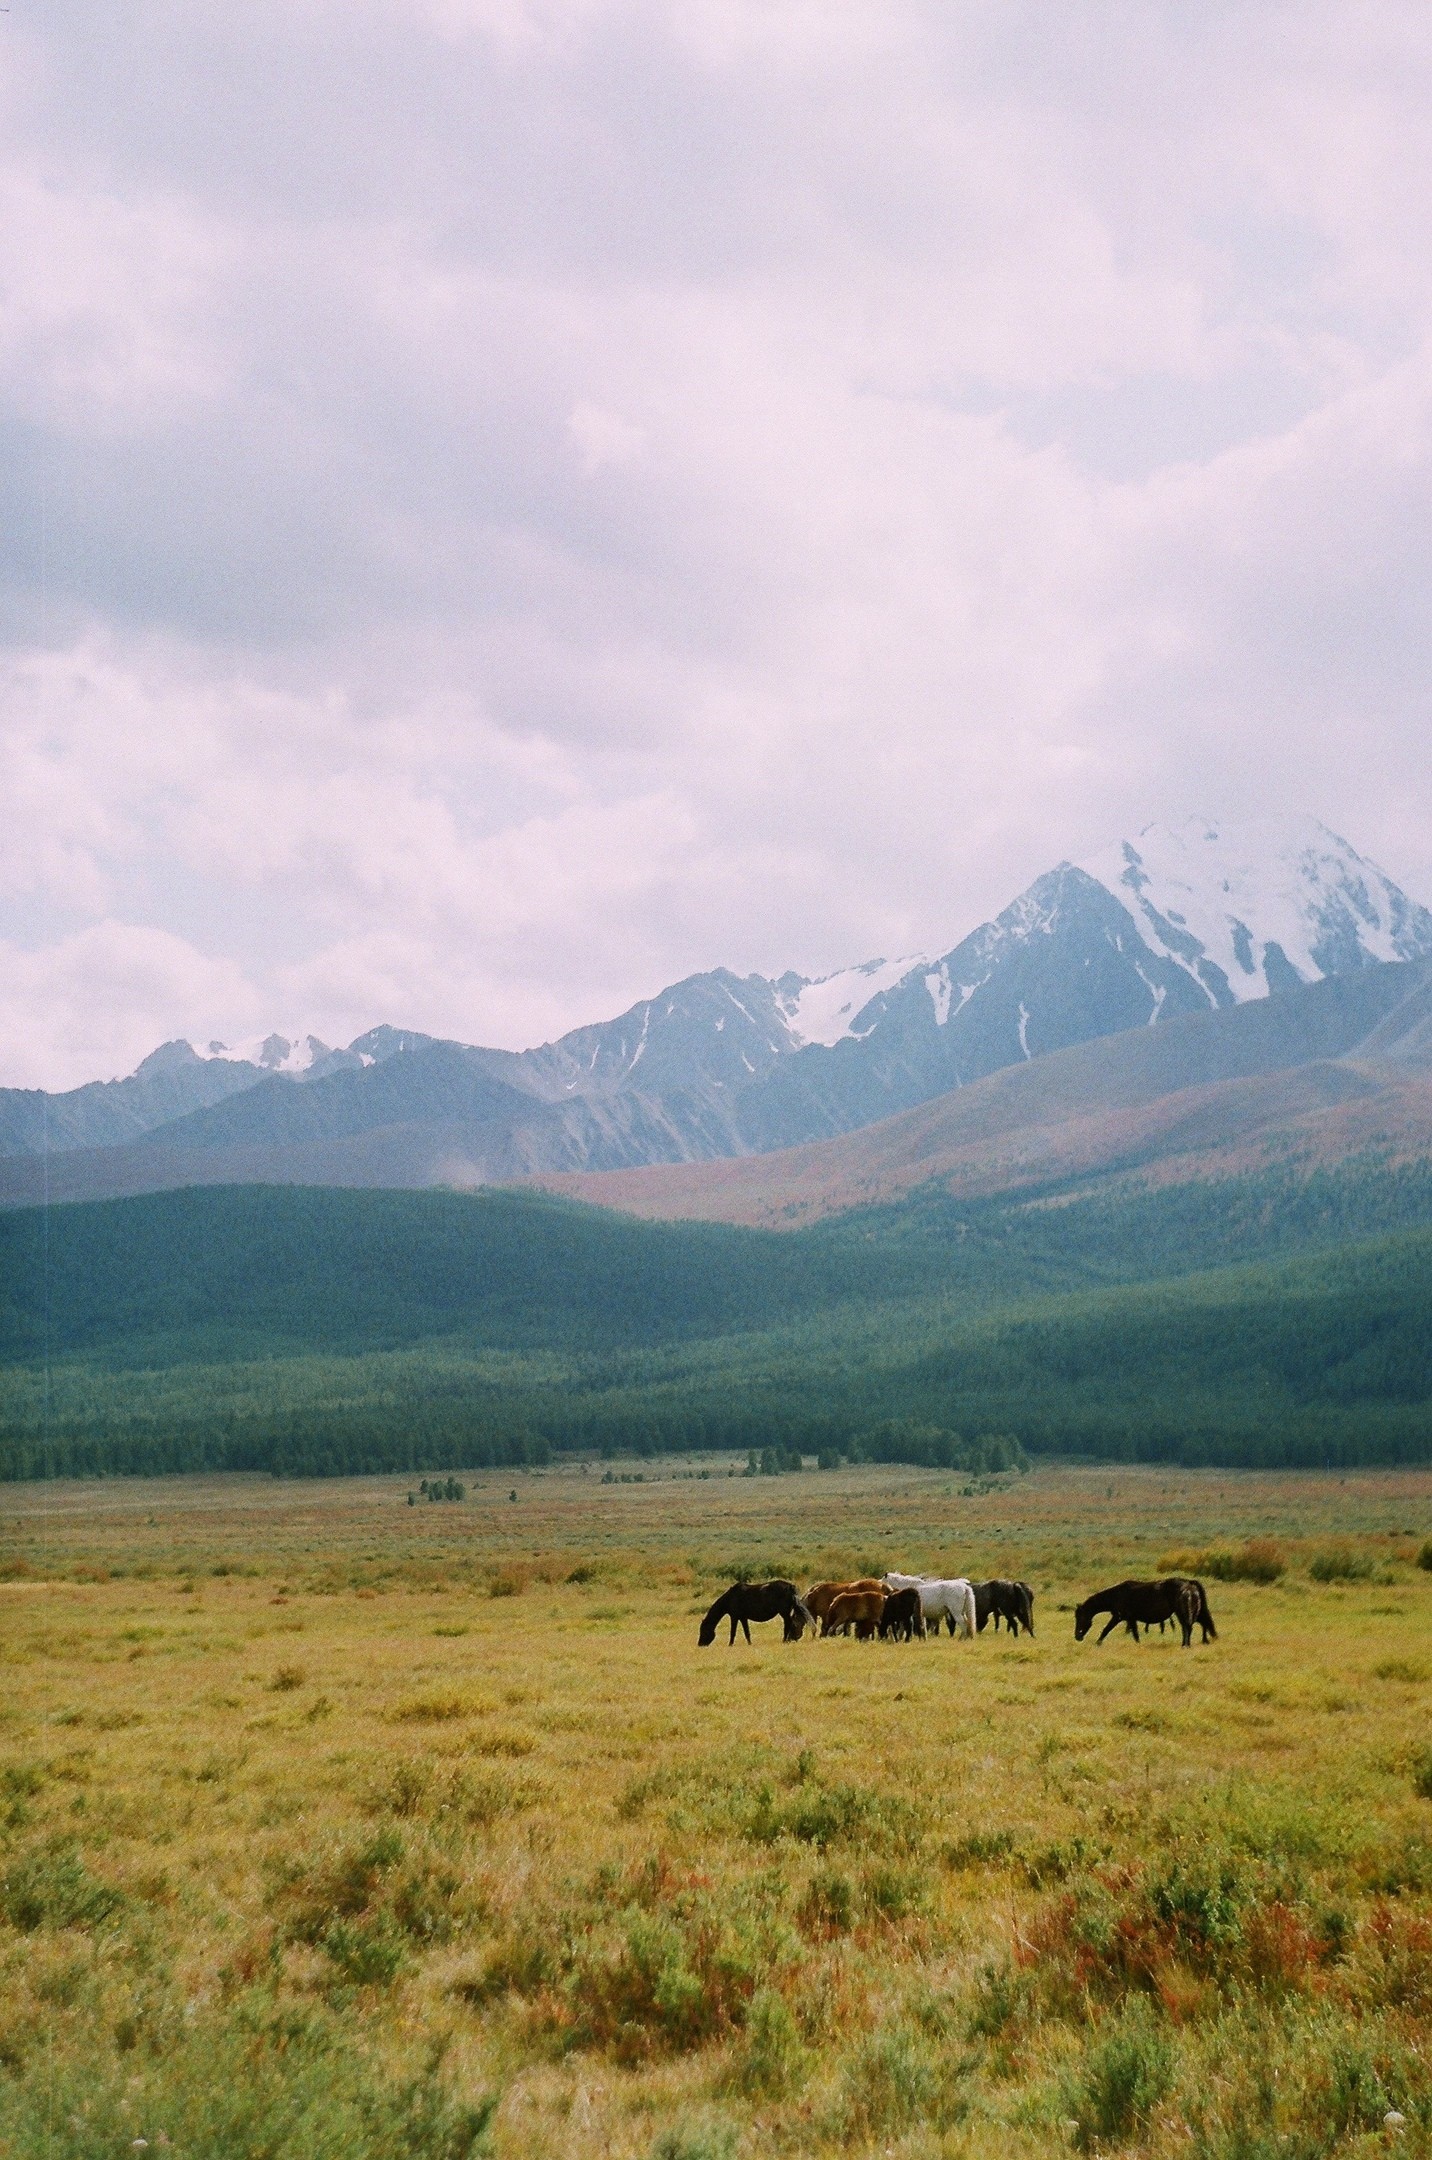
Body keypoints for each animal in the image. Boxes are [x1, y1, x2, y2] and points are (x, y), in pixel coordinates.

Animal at [1075, 1581, 1218, 1641]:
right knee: (1202, 1624)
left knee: (1188, 1628)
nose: (1077, 1636)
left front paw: (1097, 1643)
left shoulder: (1118, 1617)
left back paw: (1186, 1645)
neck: (1117, 1595)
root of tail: (1189, 1584)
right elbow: (1135, 1634)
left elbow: (1106, 1630)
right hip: (1195, 1612)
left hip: (1182, 1613)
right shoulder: (1131, 1619)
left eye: (1080, 1617)